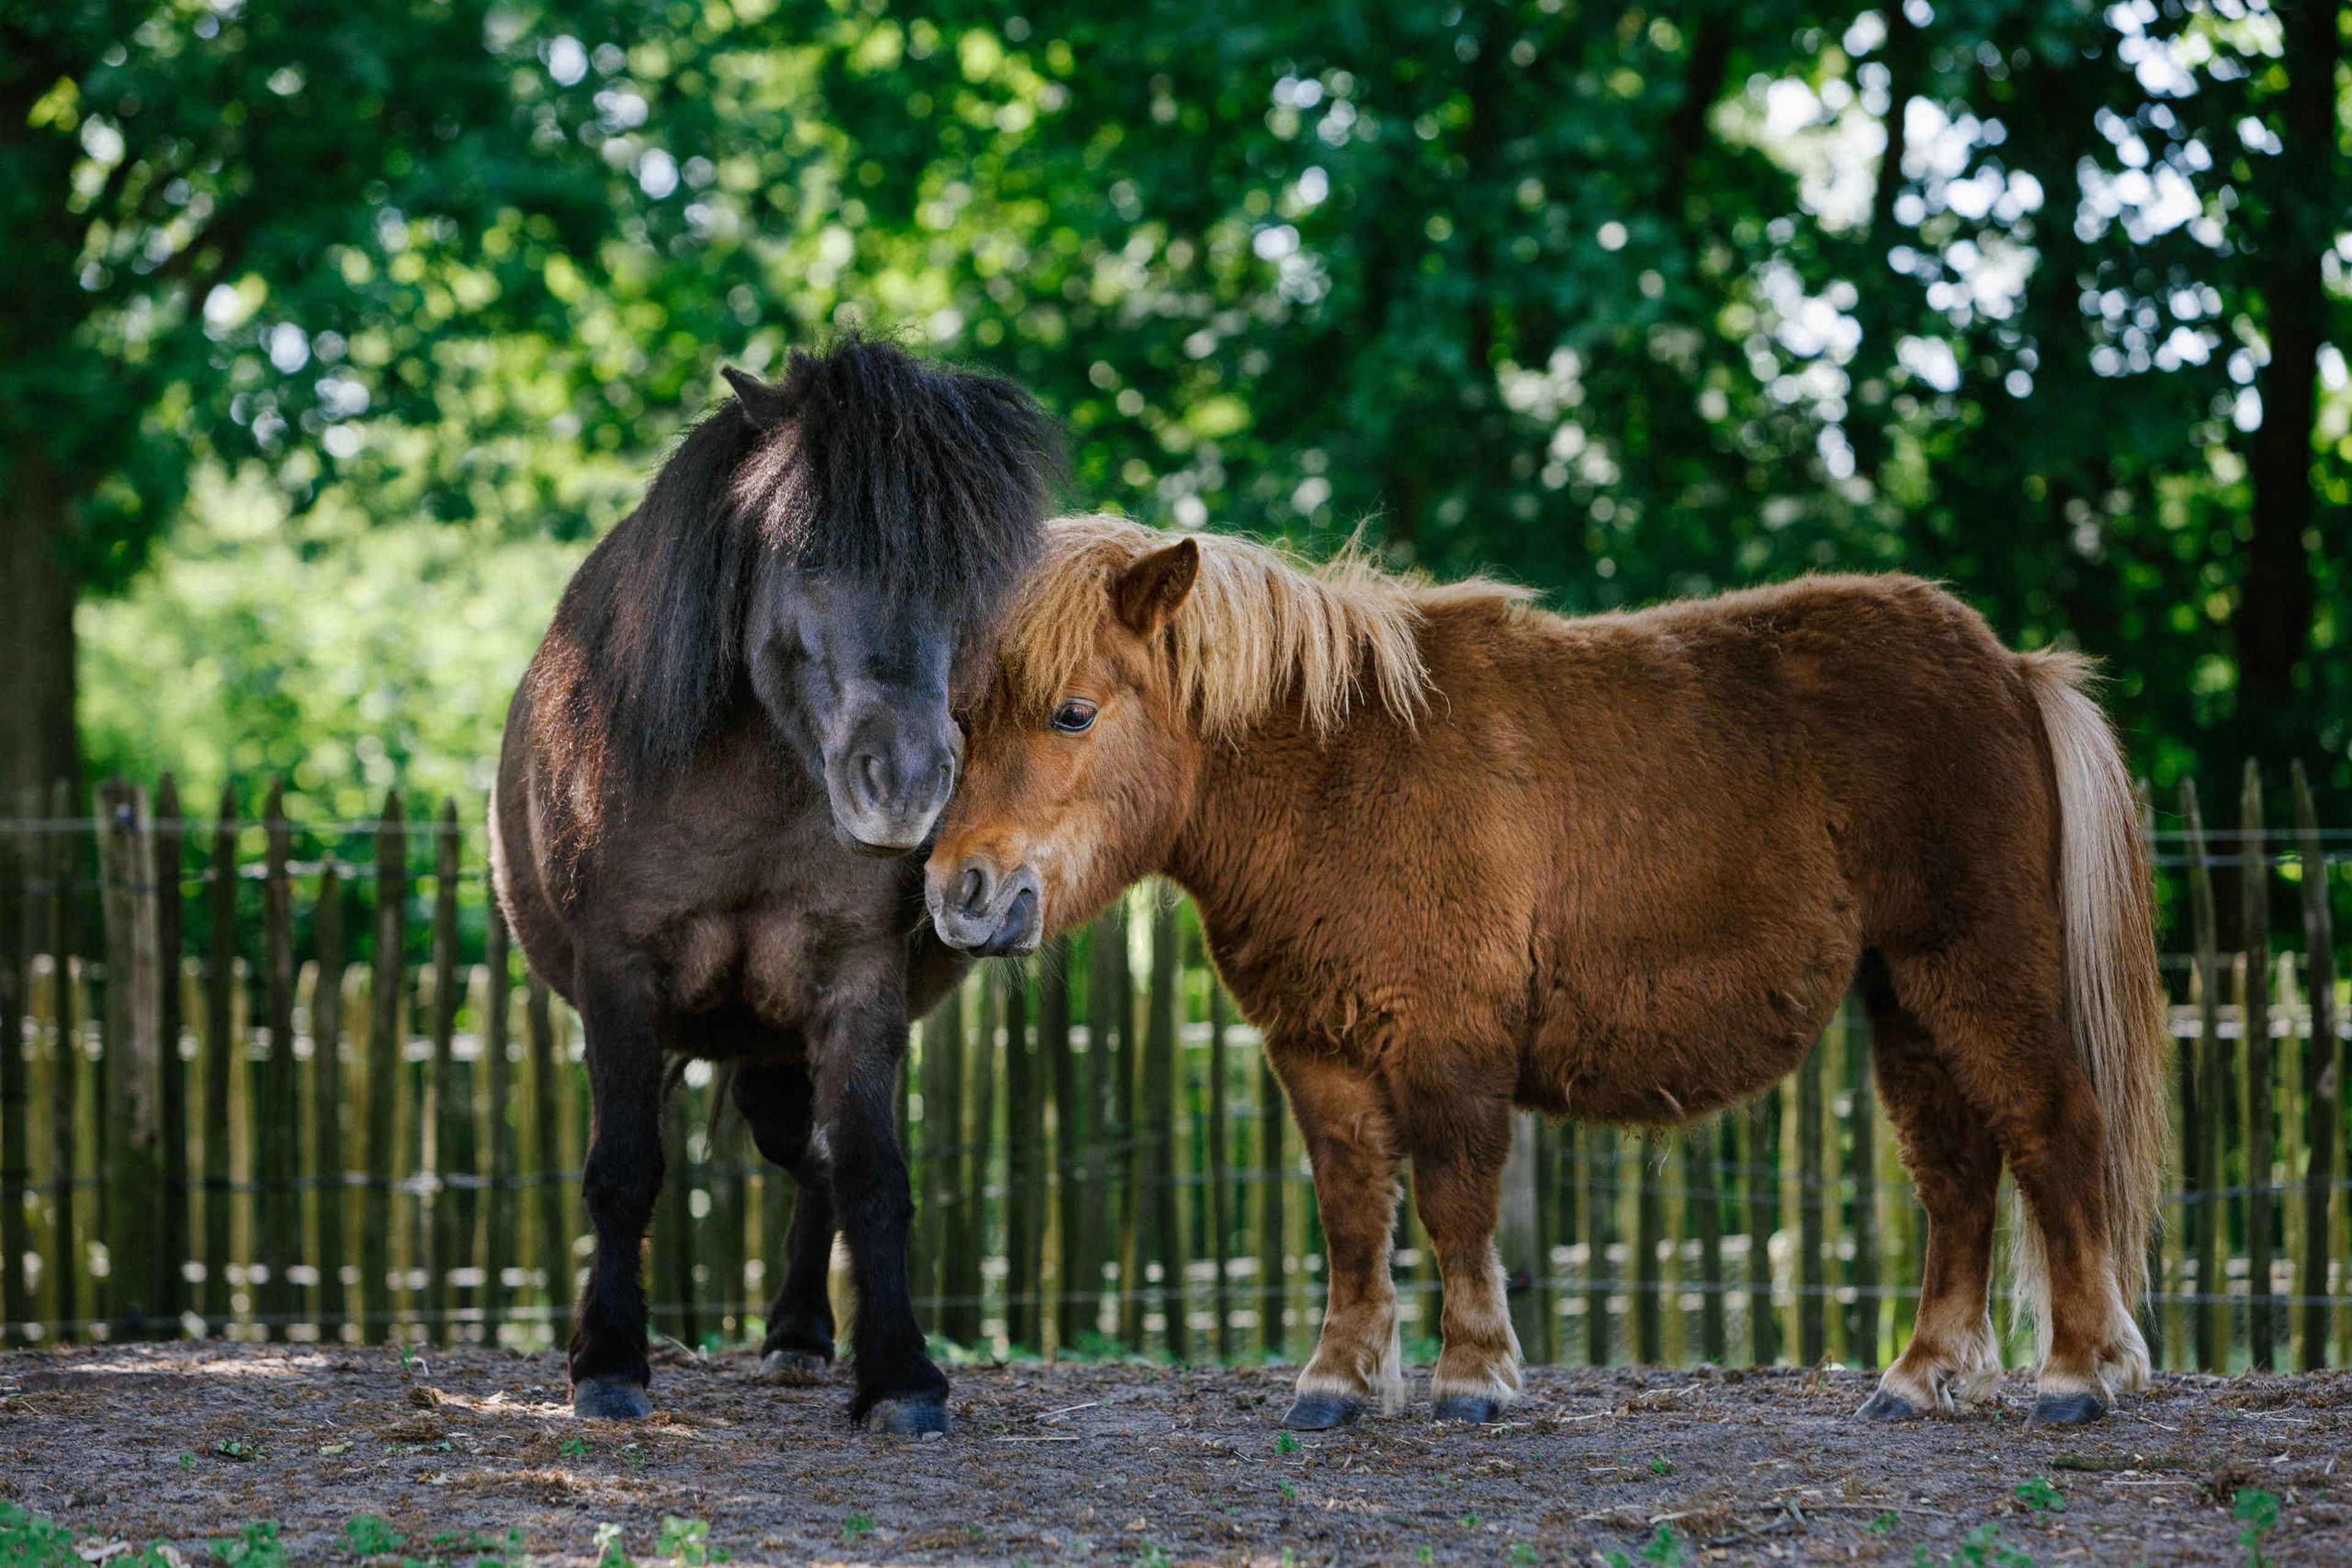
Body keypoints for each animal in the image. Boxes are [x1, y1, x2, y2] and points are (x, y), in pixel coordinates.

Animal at [490, 338, 1059, 1434]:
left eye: (966, 577)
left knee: (821, 1160)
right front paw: (607, 1363)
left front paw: (902, 1379)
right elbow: (623, 1171)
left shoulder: (858, 985)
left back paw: (800, 1335)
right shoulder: (620, 978)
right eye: (808, 554)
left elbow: (874, 1173)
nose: (905, 784)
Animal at [923, 514, 2168, 1431]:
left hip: (1977, 970)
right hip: (1905, 997)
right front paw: (1337, 1381)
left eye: (1073, 712)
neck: (1339, 772)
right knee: (1957, 1172)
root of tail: (2010, 668)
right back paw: (1920, 1376)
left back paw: (2078, 1374)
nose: (959, 894)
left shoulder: (1448, 1045)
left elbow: (1454, 1202)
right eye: (962, 718)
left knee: (2054, 1133)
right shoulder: (1318, 1052)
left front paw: (1473, 1375)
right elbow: (1351, 1212)